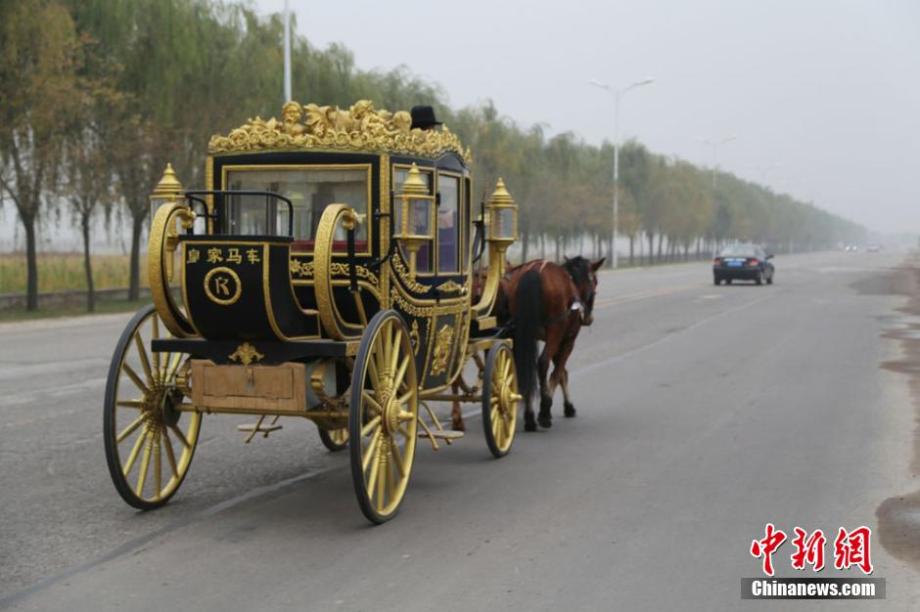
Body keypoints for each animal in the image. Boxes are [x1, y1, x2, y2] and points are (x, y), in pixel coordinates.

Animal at [504, 256, 604, 432]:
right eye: (595, 282)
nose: (588, 319)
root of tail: (533, 271)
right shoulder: (567, 339)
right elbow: (558, 373)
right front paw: (549, 408)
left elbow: (561, 372)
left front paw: (567, 406)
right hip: (555, 329)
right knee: (542, 362)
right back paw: (542, 413)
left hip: (521, 331)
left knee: (524, 365)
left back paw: (529, 417)